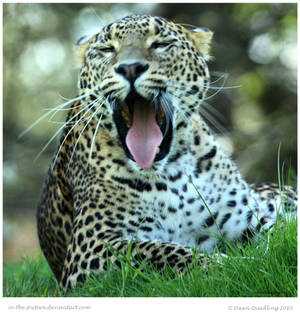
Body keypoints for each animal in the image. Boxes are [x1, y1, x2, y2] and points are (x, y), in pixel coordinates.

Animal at [36, 14, 296, 292]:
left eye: (160, 44)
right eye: (107, 49)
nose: (130, 68)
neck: (172, 172)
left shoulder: (247, 219)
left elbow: (281, 235)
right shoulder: (91, 249)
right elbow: (163, 252)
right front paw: (230, 265)